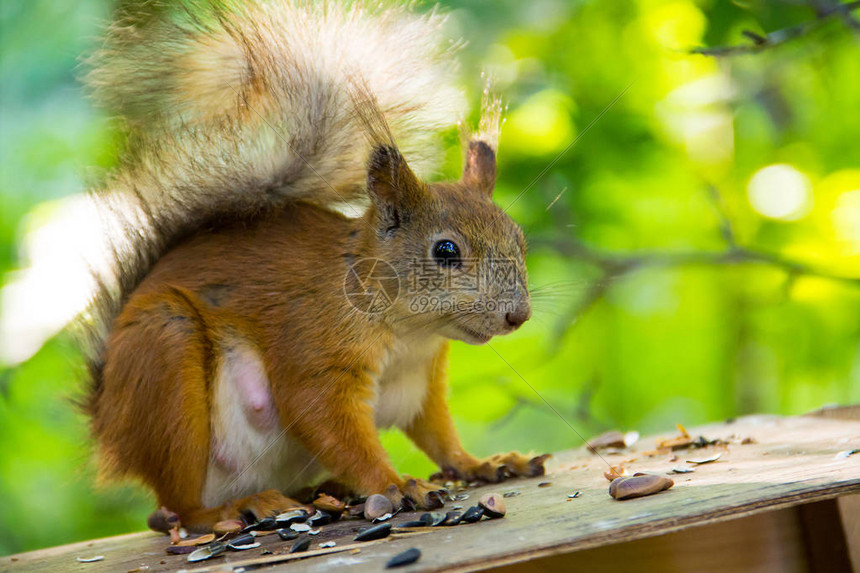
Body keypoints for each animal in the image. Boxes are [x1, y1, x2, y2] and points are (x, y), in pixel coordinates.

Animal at [79, 0, 544, 532]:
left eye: (519, 240)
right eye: (445, 251)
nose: (518, 316)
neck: (409, 332)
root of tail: (109, 425)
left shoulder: (421, 380)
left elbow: (438, 435)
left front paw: (482, 463)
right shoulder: (316, 351)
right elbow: (327, 421)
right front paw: (397, 485)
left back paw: (322, 492)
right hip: (165, 354)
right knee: (182, 506)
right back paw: (236, 508)